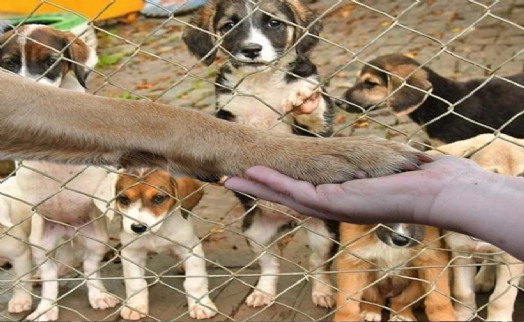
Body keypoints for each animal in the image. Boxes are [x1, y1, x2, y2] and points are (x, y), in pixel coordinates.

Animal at [0, 23, 119, 320]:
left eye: (50, 61)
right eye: (10, 64)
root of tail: (67, 228)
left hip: (95, 239)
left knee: (90, 270)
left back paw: (98, 295)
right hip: (41, 245)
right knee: (50, 280)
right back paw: (46, 308)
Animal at [95, 169, 218, 320]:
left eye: (158, 198)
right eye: (124, 199)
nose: (138, 228)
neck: (156, 233)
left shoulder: (191, 249)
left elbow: (195, 282)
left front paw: (200, 306)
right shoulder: (131, 253)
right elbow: (136, 283)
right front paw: (135, 306)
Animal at [184, 0, 340, 308]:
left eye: (274, 23)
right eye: (229, 25)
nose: (251, 49)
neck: (262, 82)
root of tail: (291, 217)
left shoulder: (319, 131)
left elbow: (313, 112)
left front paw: (304, 100)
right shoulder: (228, 112)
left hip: (324, 232)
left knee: (318, 264)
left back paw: (323, 292)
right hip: (255, 231)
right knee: (270, 264)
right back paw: (262, 293)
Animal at [430, 133, 524, 320]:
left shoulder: (511, 260)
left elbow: (501, 299)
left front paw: (498, 320)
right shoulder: (461, 253)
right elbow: (463, 291)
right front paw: (463, 314)